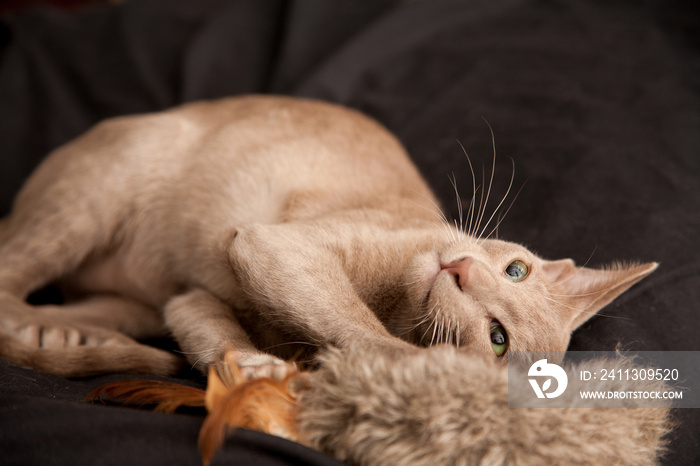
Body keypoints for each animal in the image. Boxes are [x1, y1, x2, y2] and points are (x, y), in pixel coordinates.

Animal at [0, 95, 656, 378]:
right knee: (8, 277)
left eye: (498, 339)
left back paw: (66, 334)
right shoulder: (277, 245)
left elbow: (212, 328)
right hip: (91, 199)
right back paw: (53, 334)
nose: (462, 270)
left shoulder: (192, 299)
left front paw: (251, 368)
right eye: (516, 268)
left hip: (131, 300)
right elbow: (367, 336)